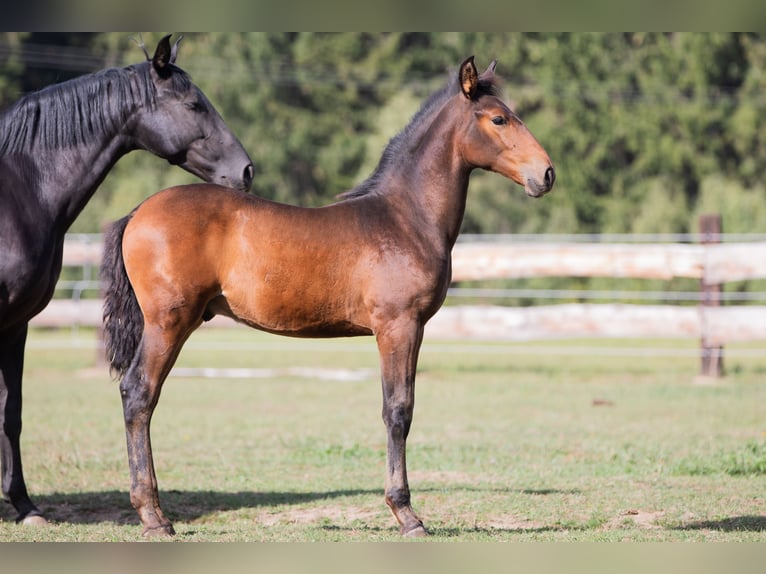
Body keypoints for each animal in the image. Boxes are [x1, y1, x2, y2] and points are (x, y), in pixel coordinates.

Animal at [0, 34, 254, 525]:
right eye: (194, 104)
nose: (247, 170)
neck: (18, 193)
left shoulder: (15, 323)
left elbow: (11, 411)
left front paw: (24, 505)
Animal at [101, 56, 555, 537]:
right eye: (499, 118)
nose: (546, 174)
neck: (405, 218)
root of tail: (138, 212)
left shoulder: (408, 329)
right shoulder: (398, 326)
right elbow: (398, 410)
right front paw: (406, 514)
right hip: (169, 322)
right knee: (138, 393)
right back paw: (154, 517)